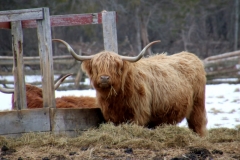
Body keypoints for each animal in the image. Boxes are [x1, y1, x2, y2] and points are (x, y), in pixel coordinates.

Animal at [53, 38, 207, 136]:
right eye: (96, 66)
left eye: (115, 66)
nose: (104, 78)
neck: (117, 98)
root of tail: (189, 55)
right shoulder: (112, 116)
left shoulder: (138, 115)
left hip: (197, 105)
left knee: (198, 125)